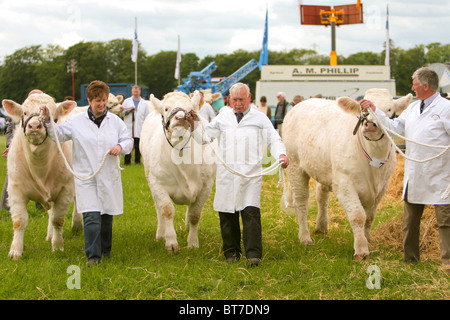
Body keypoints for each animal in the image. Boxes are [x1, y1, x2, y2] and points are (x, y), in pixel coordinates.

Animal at [2, 92, 78, 260]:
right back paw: (49, 235)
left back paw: (77, 225)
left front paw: (58, 246)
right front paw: (15, 251)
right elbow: (19, 221)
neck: (40, 166)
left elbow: (58, 220)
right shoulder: (15, 190)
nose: (35, 126)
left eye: (52, 117)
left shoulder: (65, 190)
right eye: (24, 112)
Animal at [141, 90, 218, 252]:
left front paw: (193, 242)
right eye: (166, 108)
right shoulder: (157, 183)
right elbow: (167, 210)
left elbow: (195, 214)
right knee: (158, 208)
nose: (180, 117)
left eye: (190, 109)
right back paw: (161, 234)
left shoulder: (206, 186)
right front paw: (171, 242)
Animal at [284, 88, 414, 260]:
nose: (370, 124)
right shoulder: (344, 184)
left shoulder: (382, 188)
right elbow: (358, 216)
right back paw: (305, 237)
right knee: (301, 201)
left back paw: (321, 226)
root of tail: (302, 103)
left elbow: (369, 218)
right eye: (362, 108)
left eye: (389, 110)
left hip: (324, 169)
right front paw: (361, 250)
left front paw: (367, 240)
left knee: (322, 195)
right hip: (294, 165)